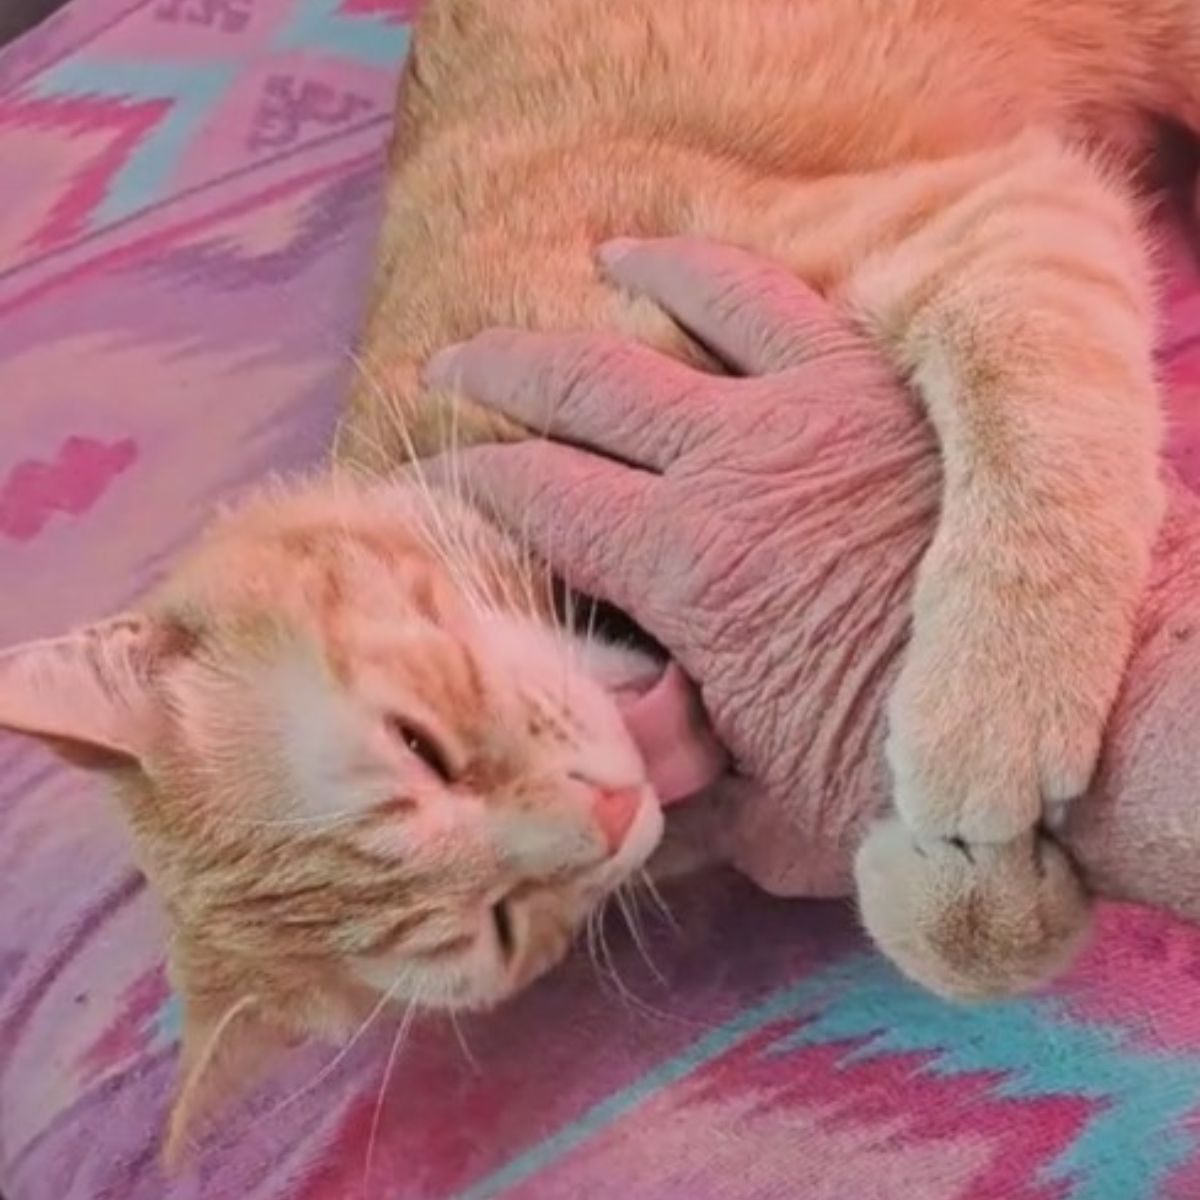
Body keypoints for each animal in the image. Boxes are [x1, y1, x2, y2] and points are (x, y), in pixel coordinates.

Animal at [0, 0, 1190, 1161]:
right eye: (498, 927)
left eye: (416, 745)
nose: (613, 810)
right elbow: (906, 920)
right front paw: (974, 903)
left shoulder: (985, 212)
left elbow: (1031, 410)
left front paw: (994, 702)